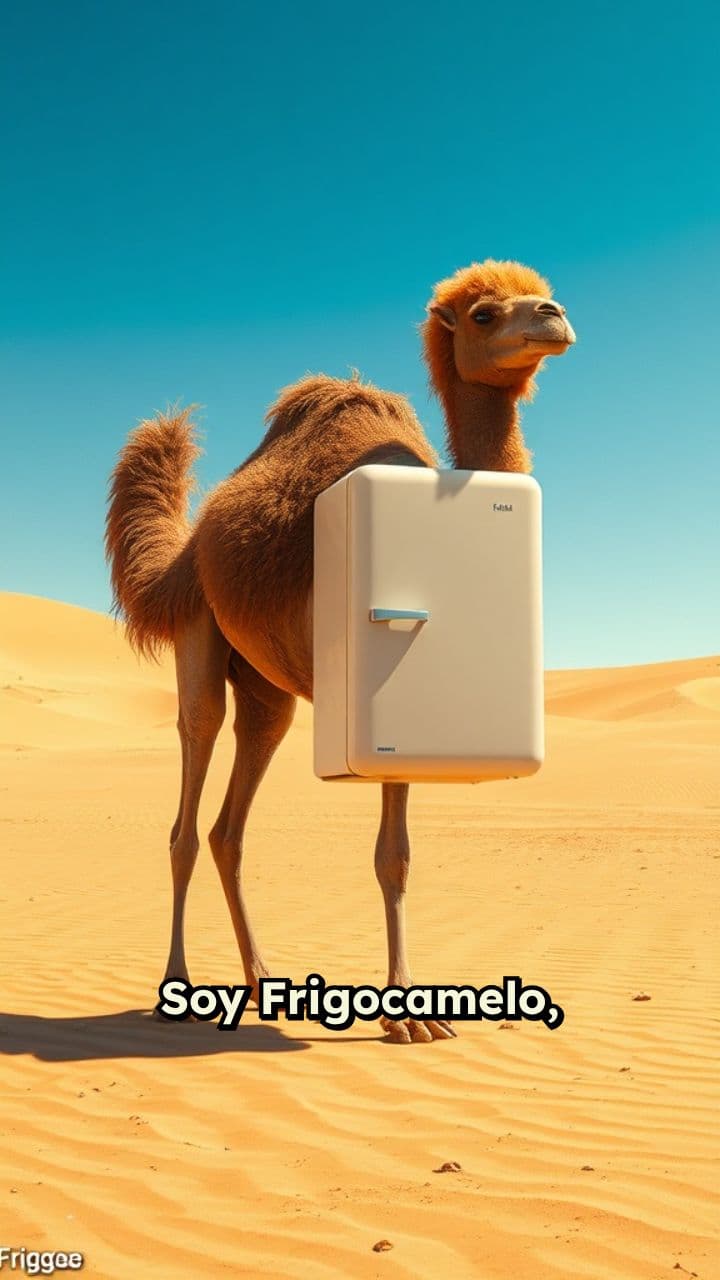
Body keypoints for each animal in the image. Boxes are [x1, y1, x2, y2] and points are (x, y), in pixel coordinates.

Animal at [106, 258, 575, 1044]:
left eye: (538, 295)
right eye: (484, 313)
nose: (553, 315)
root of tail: (187, 550)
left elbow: (397, 857)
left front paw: (411, 1015)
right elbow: (389, 853)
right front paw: (406, 1016)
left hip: (269, 694)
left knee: (230, 828)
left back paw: (261, 982)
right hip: (201, 632)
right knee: (189, 798)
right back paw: (179, 985)